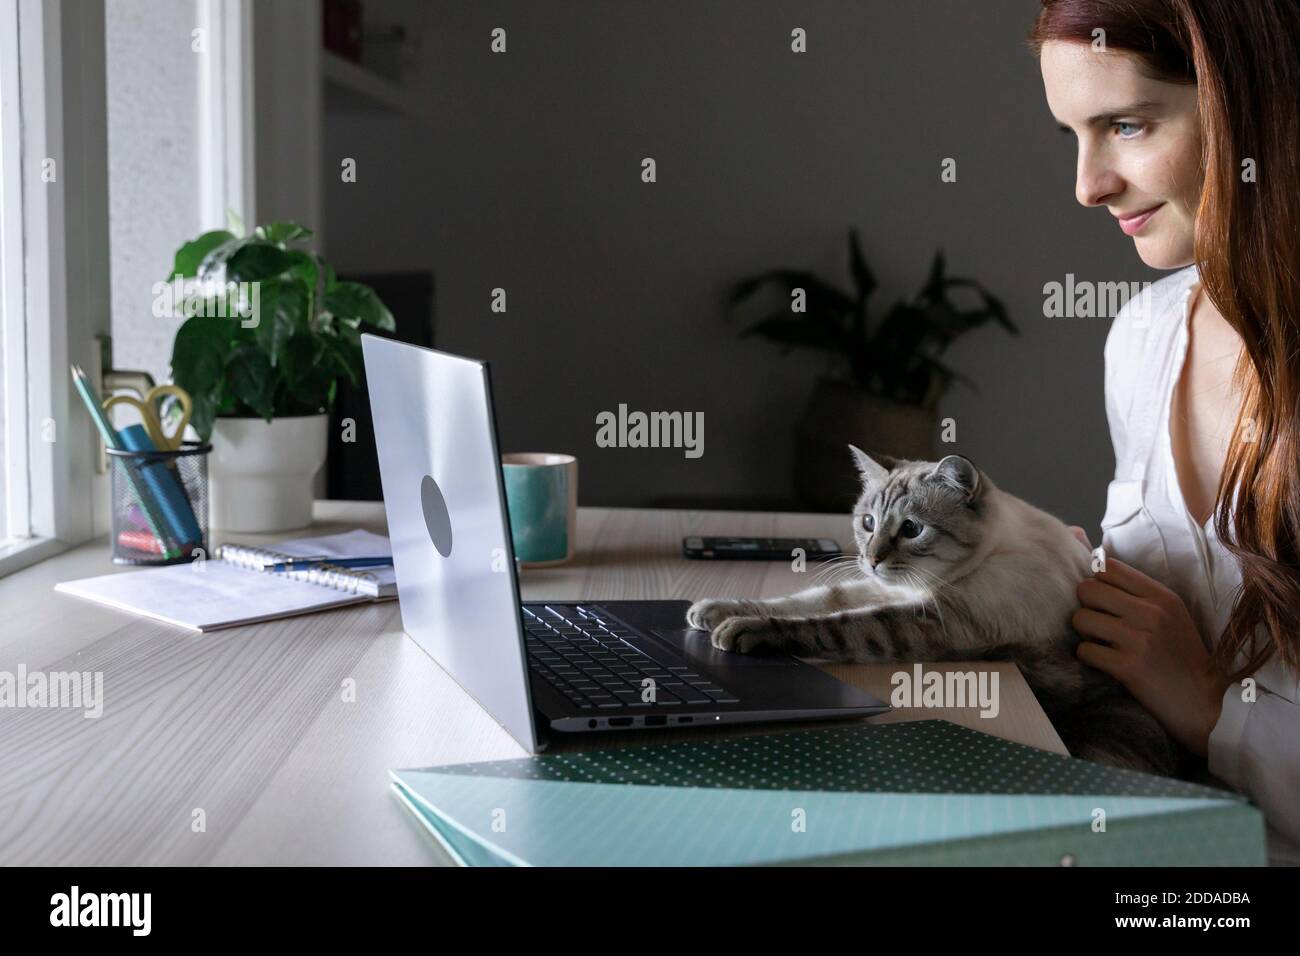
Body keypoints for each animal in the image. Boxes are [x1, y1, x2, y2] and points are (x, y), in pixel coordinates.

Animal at [691, 447, 1190, 780]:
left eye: (911, 529)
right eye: (868, 523)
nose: (870, 558)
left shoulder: (929, 620)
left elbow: (829, 626)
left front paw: (740, 630)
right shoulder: (886, 591)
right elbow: (810, 601)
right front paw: (711, 610)